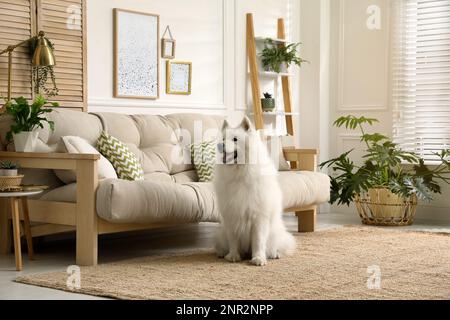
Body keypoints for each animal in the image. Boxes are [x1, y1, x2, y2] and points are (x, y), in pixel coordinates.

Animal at [214, 116, 296, 266]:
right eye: (223, 139)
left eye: (235, 139)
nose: (220, 146)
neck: (240, 172)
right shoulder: (231, 215)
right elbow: (233, 239)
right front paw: (233, 256)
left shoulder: (259, 217)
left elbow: (258, 241)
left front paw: (258, 258)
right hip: (221, 232)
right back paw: (222, 253)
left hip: (275, 232)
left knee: (274, 245)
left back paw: (274, 254)